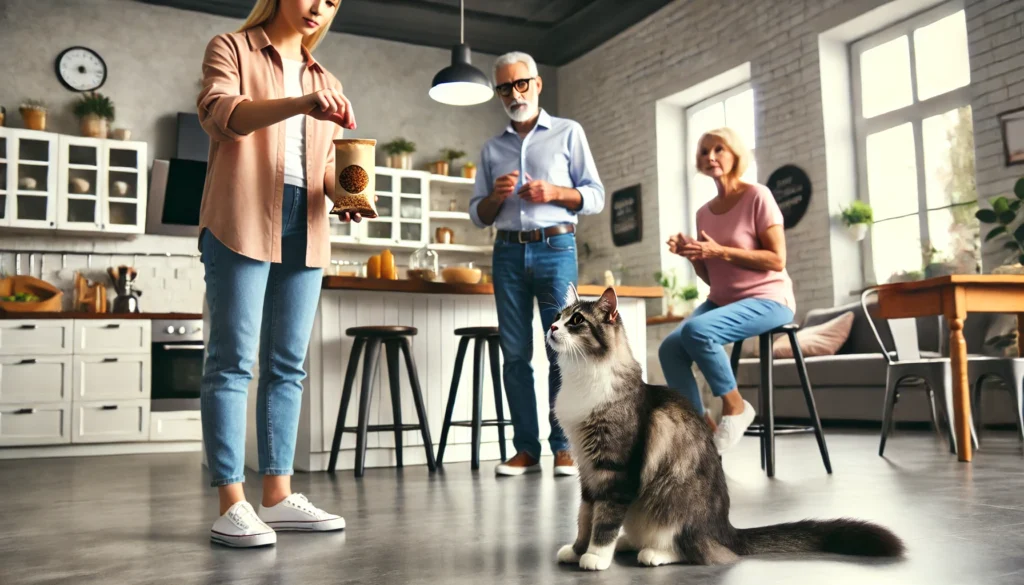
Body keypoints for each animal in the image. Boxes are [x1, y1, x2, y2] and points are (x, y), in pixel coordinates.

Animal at [548, 286, 901, 569]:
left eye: (576, 321)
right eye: (557, 315)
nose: (550, 327)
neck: (581, 379)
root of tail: (724, 529)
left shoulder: (616, 471)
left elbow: (604, 522)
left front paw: (595, 557)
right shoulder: (588, 472)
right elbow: (585, 517)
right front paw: (577, 550)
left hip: (673, 511)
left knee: (693, 550)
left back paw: (652, 553)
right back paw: (628, 543)